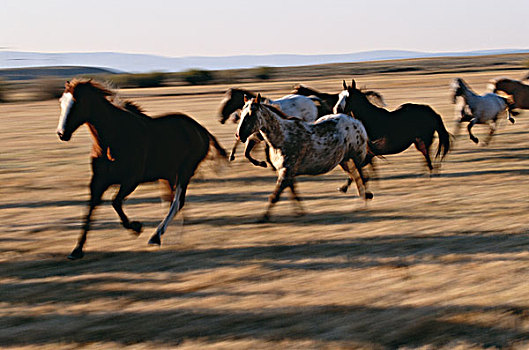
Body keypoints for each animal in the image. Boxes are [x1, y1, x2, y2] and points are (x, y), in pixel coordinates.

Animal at [56, 80, 226, 260]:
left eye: (77, 103)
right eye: (61, 102)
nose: (61, 133)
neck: (113, 140)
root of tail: (200, 129)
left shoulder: (131, 180)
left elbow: (115, 202)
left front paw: (136, 227)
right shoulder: (98, 182)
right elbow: (90, 209)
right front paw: (77, 250)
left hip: (184, 172)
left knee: (177, 202)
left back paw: (156, 236)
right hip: (168, 176)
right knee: (172, 201)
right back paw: (170, 237)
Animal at [235, 93, 372, 221]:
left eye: (251, 114)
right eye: (241, 113)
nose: (238, 135)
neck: (282, 137)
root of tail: (356, 121)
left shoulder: (286, 171)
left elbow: (275, 196)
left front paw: (264, 217)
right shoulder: (287, 172)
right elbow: (293, 193)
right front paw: (300, 212)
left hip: (357, 158)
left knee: (362, 177)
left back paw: (363, 201)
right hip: (343, 161)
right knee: (355, 176)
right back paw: (359, 197)